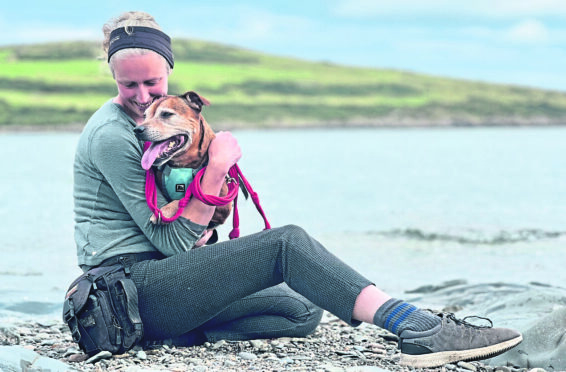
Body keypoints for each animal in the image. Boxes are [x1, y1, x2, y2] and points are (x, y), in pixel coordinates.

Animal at [134, 91, 232, 240]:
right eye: (144, 116)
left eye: (166, 114)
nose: (137, 129)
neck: (182, 165)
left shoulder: (222, 208)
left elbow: (187, 198)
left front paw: (167, 210)